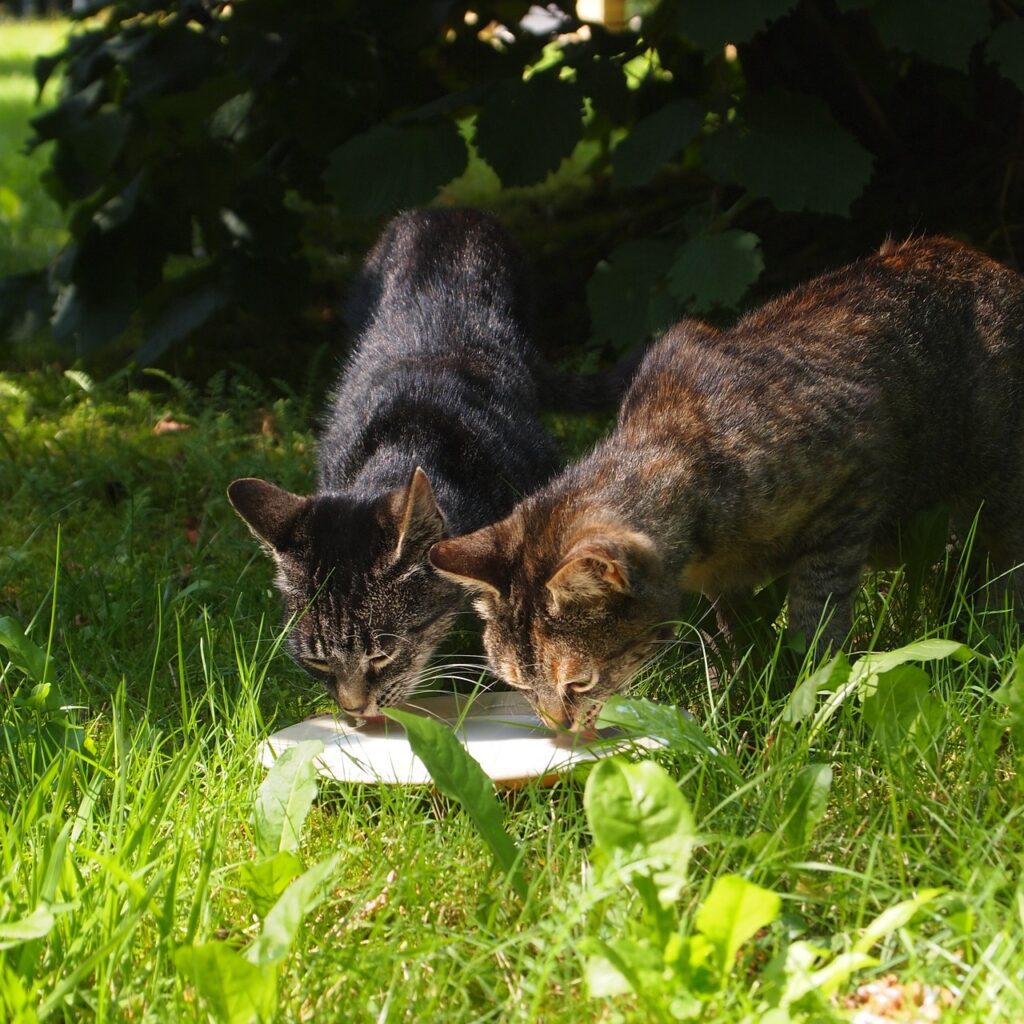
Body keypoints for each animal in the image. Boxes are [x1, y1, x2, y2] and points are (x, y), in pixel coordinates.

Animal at [428, 234, 1024, 729]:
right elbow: (733, 639)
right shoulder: (722, 585)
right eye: (516, 683)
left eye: (579, 682)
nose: (556, 729)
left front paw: (809, 690)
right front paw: (735, 691)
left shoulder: (850, 498)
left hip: (994, 486)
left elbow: (817, 615)